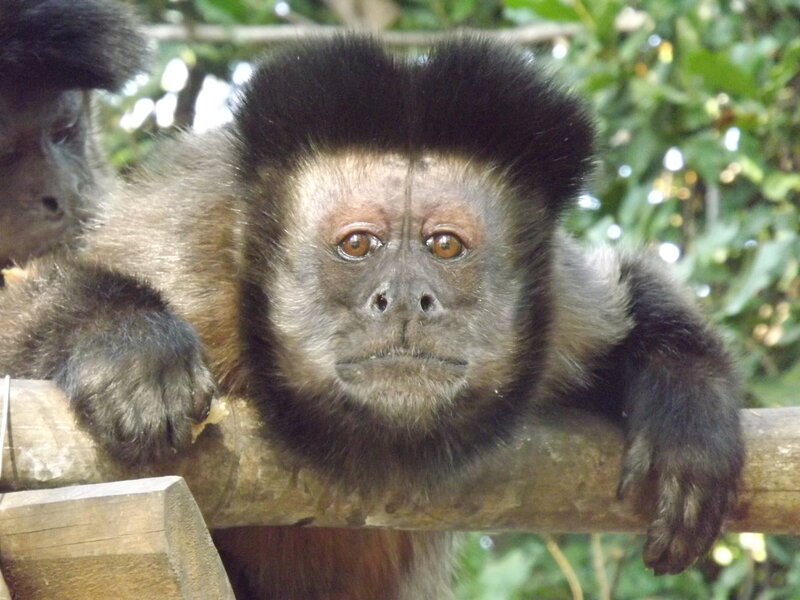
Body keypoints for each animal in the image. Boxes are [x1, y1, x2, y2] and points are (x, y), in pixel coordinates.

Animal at [0, 36, 744, 598]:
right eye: (358, 245)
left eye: (445, 246)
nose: (406, 298)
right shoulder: (195, 257)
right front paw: (122, 339)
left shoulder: (564, 312)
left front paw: (687, 403)